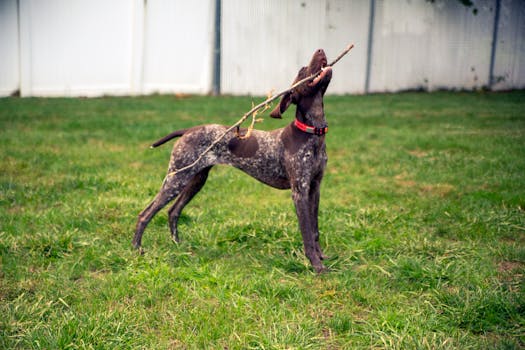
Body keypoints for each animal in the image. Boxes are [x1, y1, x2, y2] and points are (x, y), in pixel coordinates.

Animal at [135, 48, 332, 274]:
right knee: (145, 214)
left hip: (195, 180)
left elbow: (315, 230)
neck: (312, 132)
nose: (320, 50)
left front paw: (321, 257)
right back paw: (137, 250)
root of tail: (189, 130)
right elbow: (307, 233)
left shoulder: (314, 188)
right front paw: (316, 265)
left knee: (173, 211)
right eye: (302, 70)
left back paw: (178, 245)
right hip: (176, 179)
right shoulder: (299, 192)